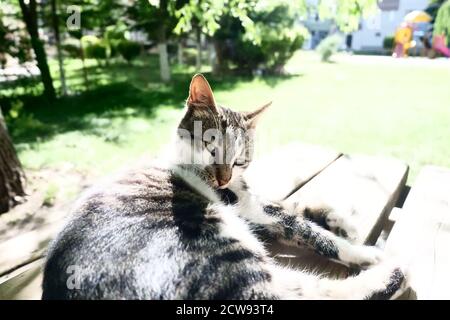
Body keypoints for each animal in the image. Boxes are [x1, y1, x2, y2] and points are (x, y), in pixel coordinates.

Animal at [42, 74, 408, 298]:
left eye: (241, 159)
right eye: (210, 149)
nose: (224, 181)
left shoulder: (252, 204)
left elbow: (292, 206)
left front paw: (340, 220)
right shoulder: (246, 208)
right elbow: (308, 230)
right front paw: (360, 249)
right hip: (223, 247)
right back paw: (391, 271)